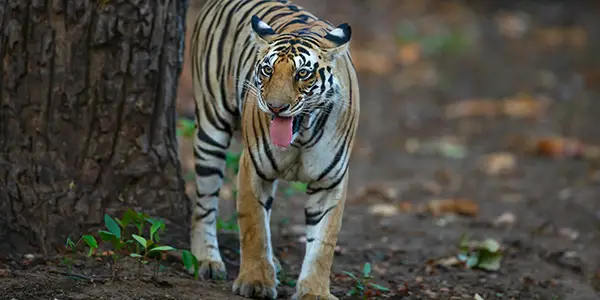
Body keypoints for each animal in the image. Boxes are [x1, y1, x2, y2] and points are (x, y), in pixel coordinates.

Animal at [191, 0, 360, 298]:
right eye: (267, 70)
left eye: (302, 74)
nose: (275, 107)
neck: (302, 135)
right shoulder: (253, 167)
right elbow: (254, 227)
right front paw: (256, 282)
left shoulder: (330, 182)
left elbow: (323, 243)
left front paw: (314, 291)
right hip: (211, 127)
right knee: (204, 202)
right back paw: (208, 260)